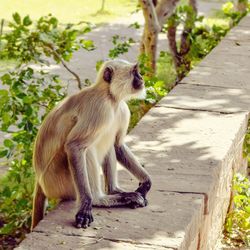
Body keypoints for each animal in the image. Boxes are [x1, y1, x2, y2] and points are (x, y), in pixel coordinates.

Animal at [31, 59, 152, 229]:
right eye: (134, 72)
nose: (141, 78)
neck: (110, 97)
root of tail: (40, 181)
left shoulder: (122, 109)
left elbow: (118, 145)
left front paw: (146, 183)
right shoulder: (100, 107)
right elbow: (74, 146)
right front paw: (85, 206)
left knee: (108, 143)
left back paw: (114, 191)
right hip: (58, 180)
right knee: (86, 149)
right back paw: (98, 199)